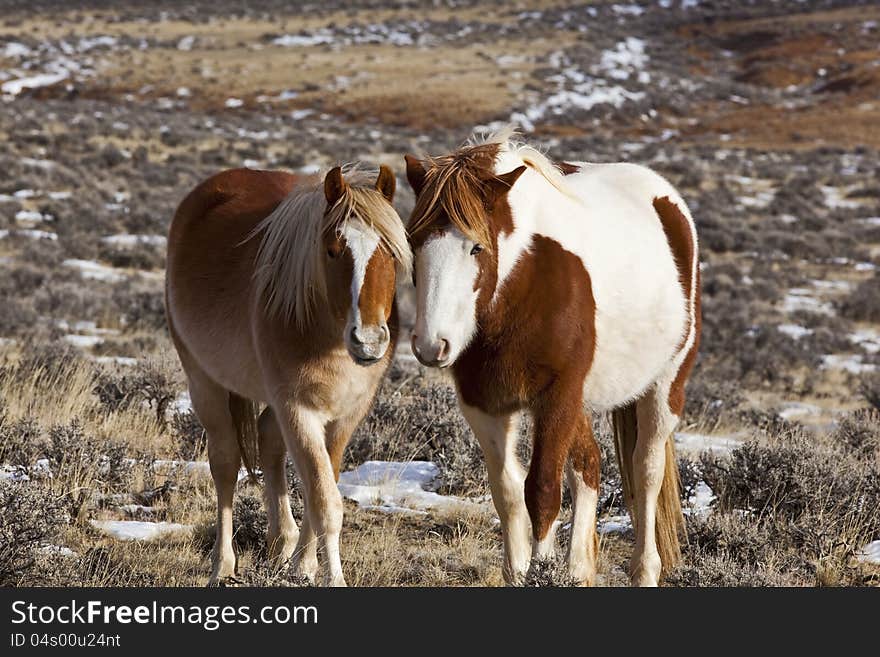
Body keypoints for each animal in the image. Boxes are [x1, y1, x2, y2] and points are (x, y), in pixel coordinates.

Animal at [167, 164, 410, 584]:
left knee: (267, 440)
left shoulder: (345, 417)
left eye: (391, 253)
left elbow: (319, 490)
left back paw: (281, 542)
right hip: (205, 384)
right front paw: (333, 578)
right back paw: (222, 565)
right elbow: (326, 504)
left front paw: (304, 564)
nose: (369, 340)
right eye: (332, 250)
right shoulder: (299, 410)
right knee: (225, 464)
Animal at [406, 128, 700, 584]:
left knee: (645, 471)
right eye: (413, 240)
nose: (431, 345)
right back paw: (579, 569)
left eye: (476, 248)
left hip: (664, 386)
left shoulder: (555, 397)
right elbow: (507, 492)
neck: (521, 280)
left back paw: (644, 569)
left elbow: (542, 490)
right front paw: (522, 569)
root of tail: (668, 201)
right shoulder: (484, 403)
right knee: (589, 466)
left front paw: (542, 568)